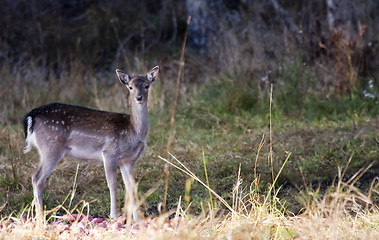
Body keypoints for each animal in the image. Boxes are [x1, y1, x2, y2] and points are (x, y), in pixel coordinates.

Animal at [23, 65, 160, 221]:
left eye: (146, 85)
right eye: (130, 87)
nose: (139, 97)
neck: (133, 131)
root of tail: (31, 117)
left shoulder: (128, 160)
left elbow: (131, 187)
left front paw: (137, 219)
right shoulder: (109, 152)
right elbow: (112, 184)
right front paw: (114, 216)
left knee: (36, 178)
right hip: (51, 148)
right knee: (37, 178)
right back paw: (40, 217)